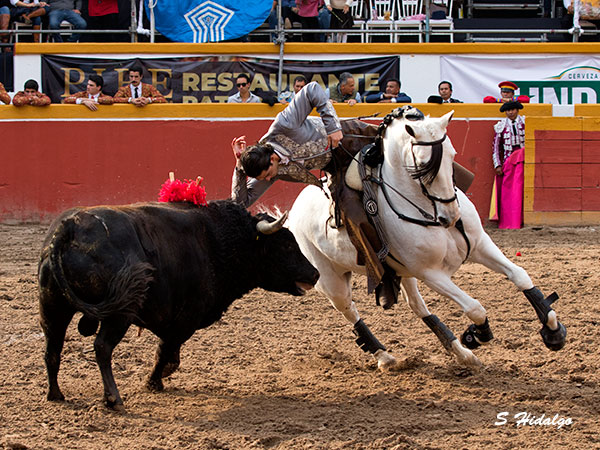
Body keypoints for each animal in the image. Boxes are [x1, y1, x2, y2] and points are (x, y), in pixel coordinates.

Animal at [37, 200, 318, 412]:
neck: (219, 240)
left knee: (53, 349)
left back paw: (55, 394)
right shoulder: (184, 320)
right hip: (119, 313)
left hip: (52, 307)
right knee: (102, 347)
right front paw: (155, 381)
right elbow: (165, 351)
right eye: (285, 244)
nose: (314, 274)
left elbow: (167, 350)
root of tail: (70, 227)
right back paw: (113, 398)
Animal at [288, 108, 564, 370]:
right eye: (420, 164)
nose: (450, 217)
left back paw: (462, 354)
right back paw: (385, 357)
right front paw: (476, 333)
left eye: (452, 154)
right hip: (331, 280)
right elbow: (474, 308)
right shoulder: (430, 272)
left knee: (416, 306)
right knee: (351, 312)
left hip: (404, 273)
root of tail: (293, 211)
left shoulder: (480, 245)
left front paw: (553, 331)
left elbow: (520, 276)